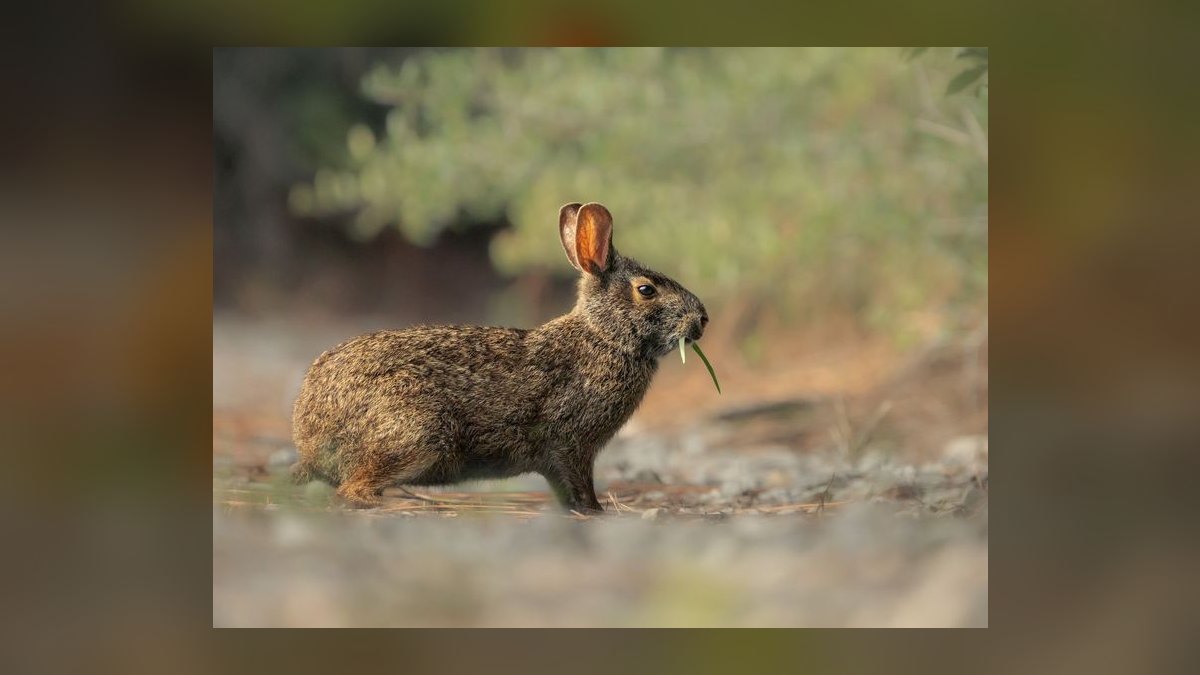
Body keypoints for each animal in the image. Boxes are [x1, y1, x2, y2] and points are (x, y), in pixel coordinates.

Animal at [291, 202, 708, 513]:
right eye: (646, 290)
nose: (702, 319)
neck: (604, 337)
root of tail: (310, 441)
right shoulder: (571, 442)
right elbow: (579, 483)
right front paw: (595, 511)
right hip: (418, 434)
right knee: (353, 490)